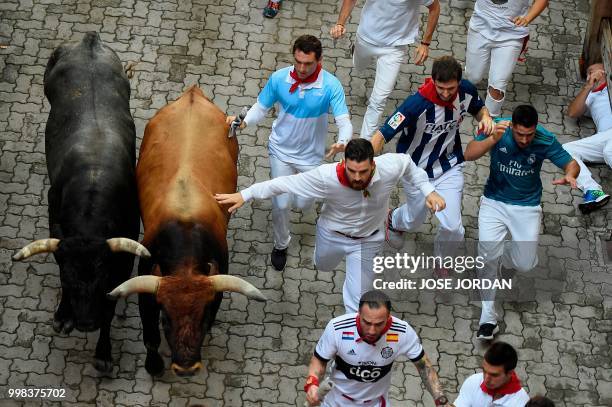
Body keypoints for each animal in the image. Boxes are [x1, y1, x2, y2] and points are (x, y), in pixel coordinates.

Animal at [12, 33, 149, 374]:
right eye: (69, 279)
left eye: (101, 277)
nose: (86, 323)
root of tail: (89, 40)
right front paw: (63, 315)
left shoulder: (121, 260)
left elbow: (110, 307)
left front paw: (103, 352)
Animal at [108, 87, 266, 380]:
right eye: (165, 318)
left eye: (202, 317)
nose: (186, 366)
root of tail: (193, 93)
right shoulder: (148, 288)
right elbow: (150, 337)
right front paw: (154, 365)